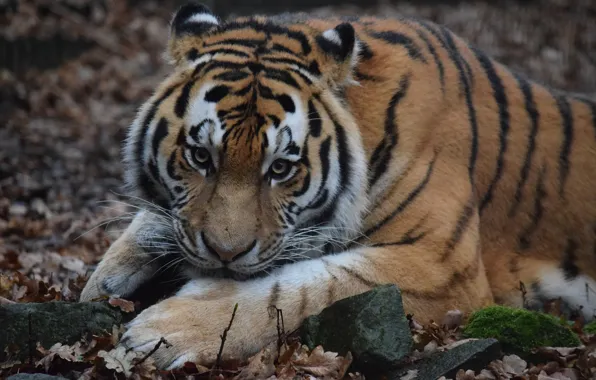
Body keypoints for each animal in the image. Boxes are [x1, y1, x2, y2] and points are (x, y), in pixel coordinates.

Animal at [79, 0, 596, 368]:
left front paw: (166, 328)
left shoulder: (444, 266)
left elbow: (306, 287)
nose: (226, 254)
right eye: (200, 156)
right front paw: (104, 281)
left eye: (280, 168)